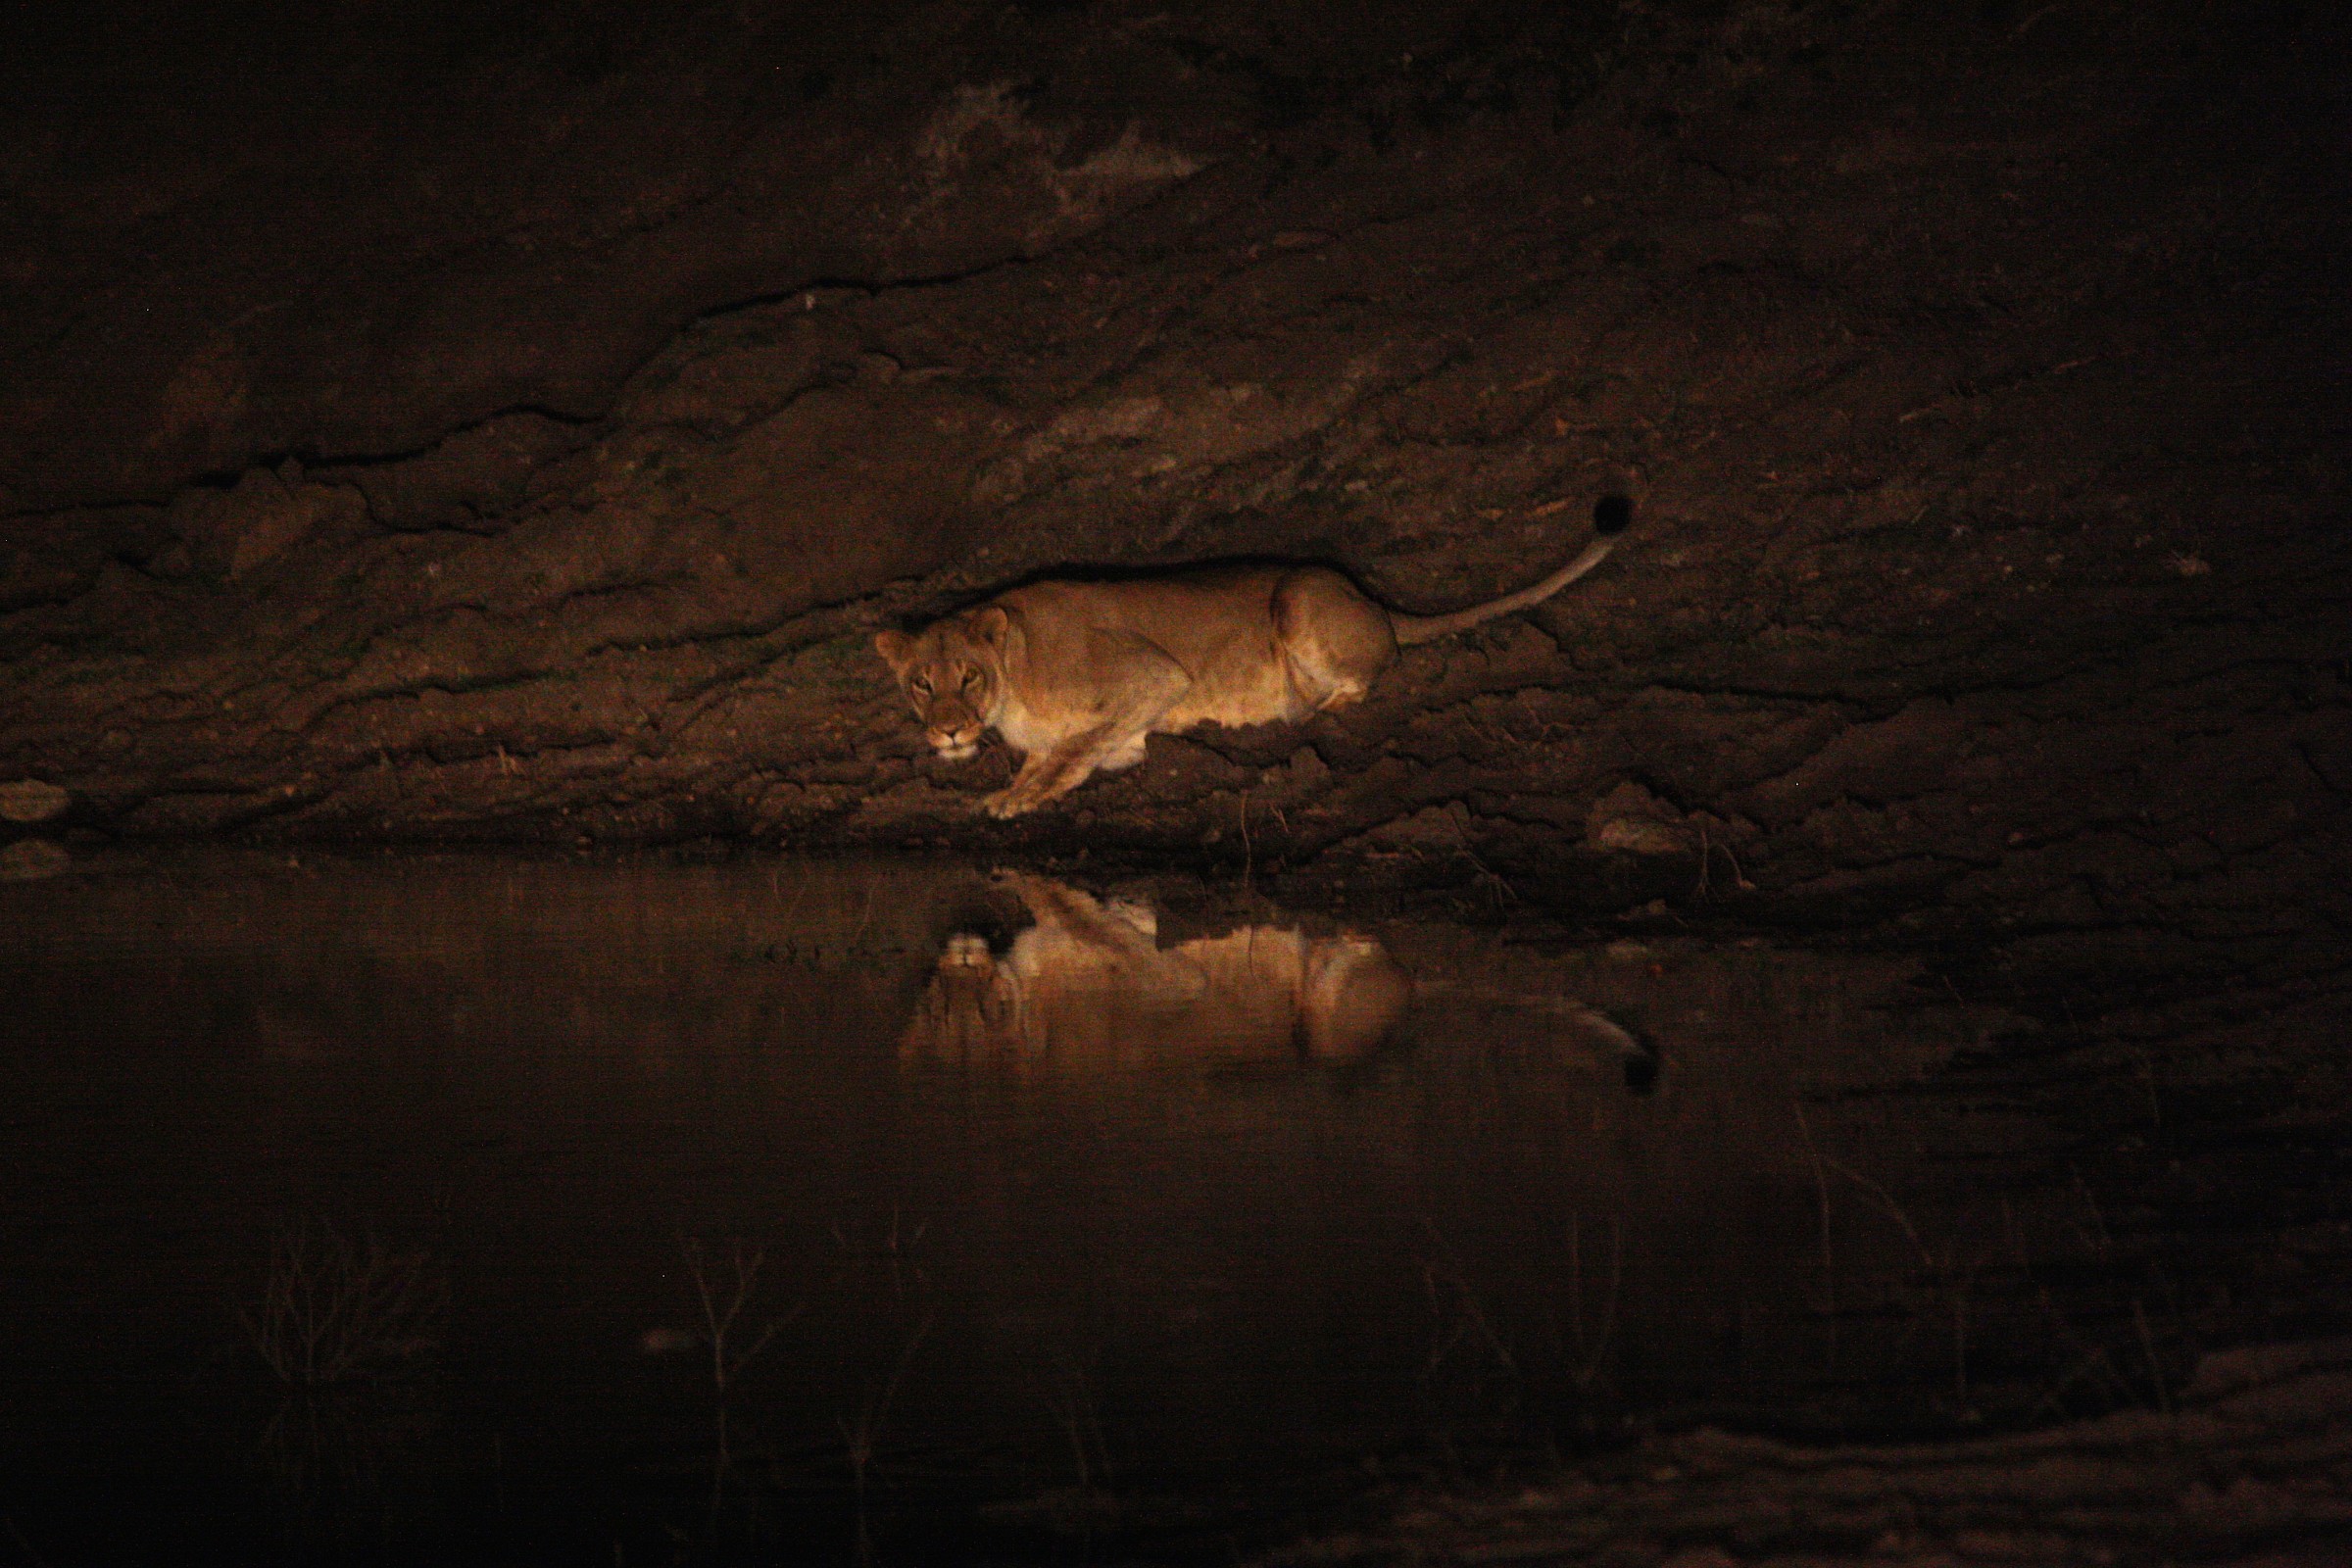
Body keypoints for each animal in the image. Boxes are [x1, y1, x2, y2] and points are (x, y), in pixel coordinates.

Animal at [873, 495, 1632, 816]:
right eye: (921, 685)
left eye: (968, 676)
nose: (948, 731)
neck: (1012, 676)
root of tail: (1376, 604)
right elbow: (1071, 748)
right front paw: (1016, 782)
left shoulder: (1154, 675)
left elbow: (1073, 746)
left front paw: (1023, 796)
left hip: (1296, 595)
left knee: (1368, 674)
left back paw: (1306, 712)